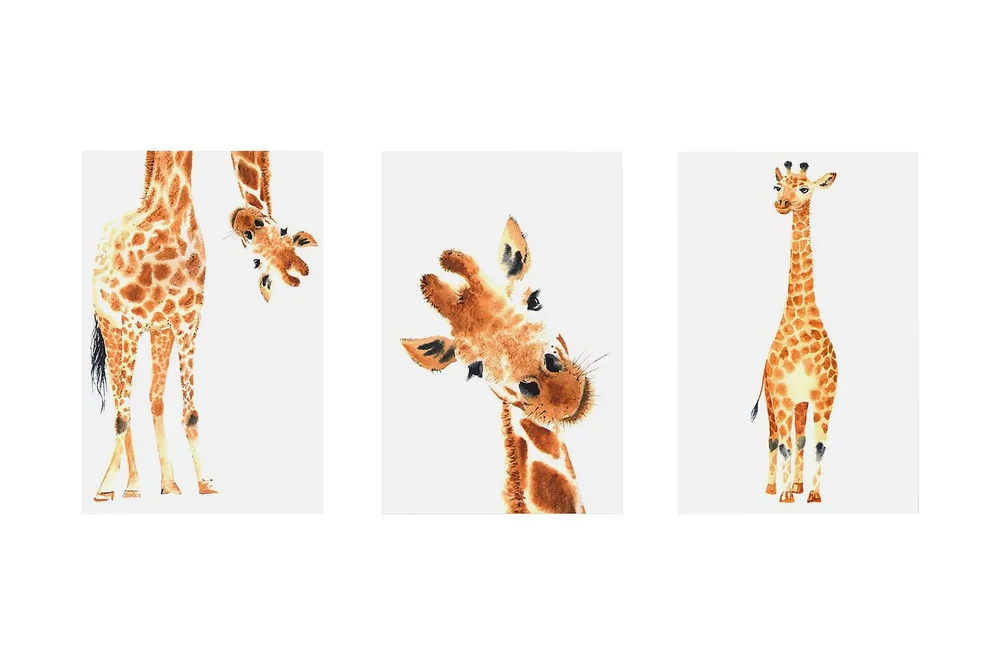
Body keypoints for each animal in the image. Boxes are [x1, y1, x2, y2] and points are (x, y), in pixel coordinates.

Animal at [750, 161, 839, 504]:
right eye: (778, 186)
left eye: (804, 188)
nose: (781, 204)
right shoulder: (783, 396)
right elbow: (785, 445)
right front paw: (786, 495)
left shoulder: (824, 397)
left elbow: (817, 444)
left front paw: (811, 494)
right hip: (773, 401)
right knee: (775, 439)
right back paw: (773, 487)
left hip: (801, 404)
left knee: (799, 438)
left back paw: (798, 485)